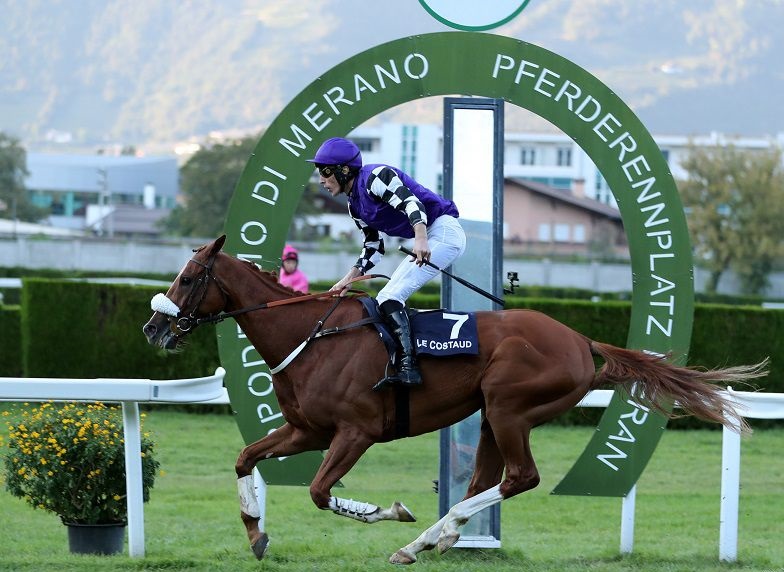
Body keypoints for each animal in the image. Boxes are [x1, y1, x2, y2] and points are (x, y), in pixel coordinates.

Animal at [142, 236, 764, 564]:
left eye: (189, 277)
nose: (153, 328)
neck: (312, 336)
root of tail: (580, 340)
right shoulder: (306, 430)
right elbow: (245, 458)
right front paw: (256, 532)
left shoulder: (355, 433)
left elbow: (320, 492)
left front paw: (387, 510)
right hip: (490, 414)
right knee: (486, 480)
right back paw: (432, 538)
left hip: (510, 406)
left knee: (520, 477)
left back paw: (422, 536)